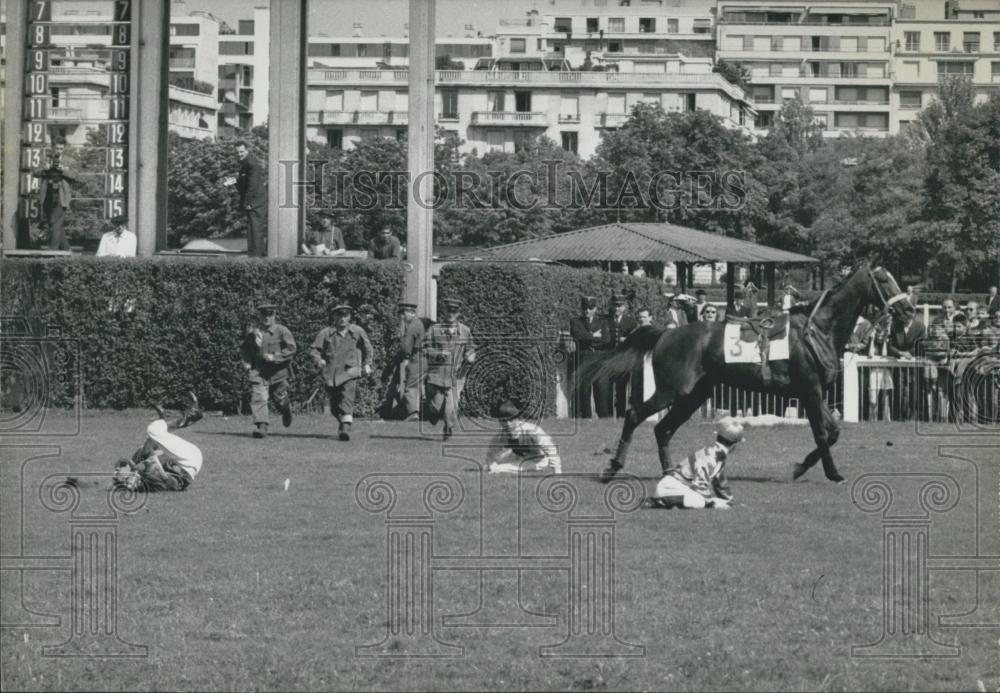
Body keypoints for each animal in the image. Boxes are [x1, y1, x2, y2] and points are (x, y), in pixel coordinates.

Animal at [584, 262, 916, 484]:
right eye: (884, 280)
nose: (909, 310)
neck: (817, 331)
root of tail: (666, 333)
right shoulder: (810, 391)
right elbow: (822, 434)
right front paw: (832, 473)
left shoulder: (814, 391)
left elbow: (832, 432)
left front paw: (801, 466)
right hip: (672, 390)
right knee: (634, 416)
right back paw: (612, 468)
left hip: (693, 395)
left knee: (662, 429)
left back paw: (670, 473)